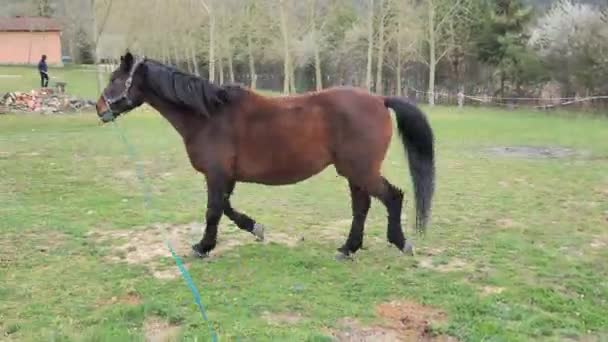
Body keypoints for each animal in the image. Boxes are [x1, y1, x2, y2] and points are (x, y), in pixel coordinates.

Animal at [95, 52, 434, 260]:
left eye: (115, 79)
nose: (99, 108)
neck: (210, 115)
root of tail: (379, 99)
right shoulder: (225, 177)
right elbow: (226, 208)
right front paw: (255, 228)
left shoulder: (217, 174)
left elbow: (213, 210)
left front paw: (203, 246)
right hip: (353, 173)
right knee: (362, 208)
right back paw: (348, 248)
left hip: (361, 170)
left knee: (393, 197)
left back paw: (401, 243)